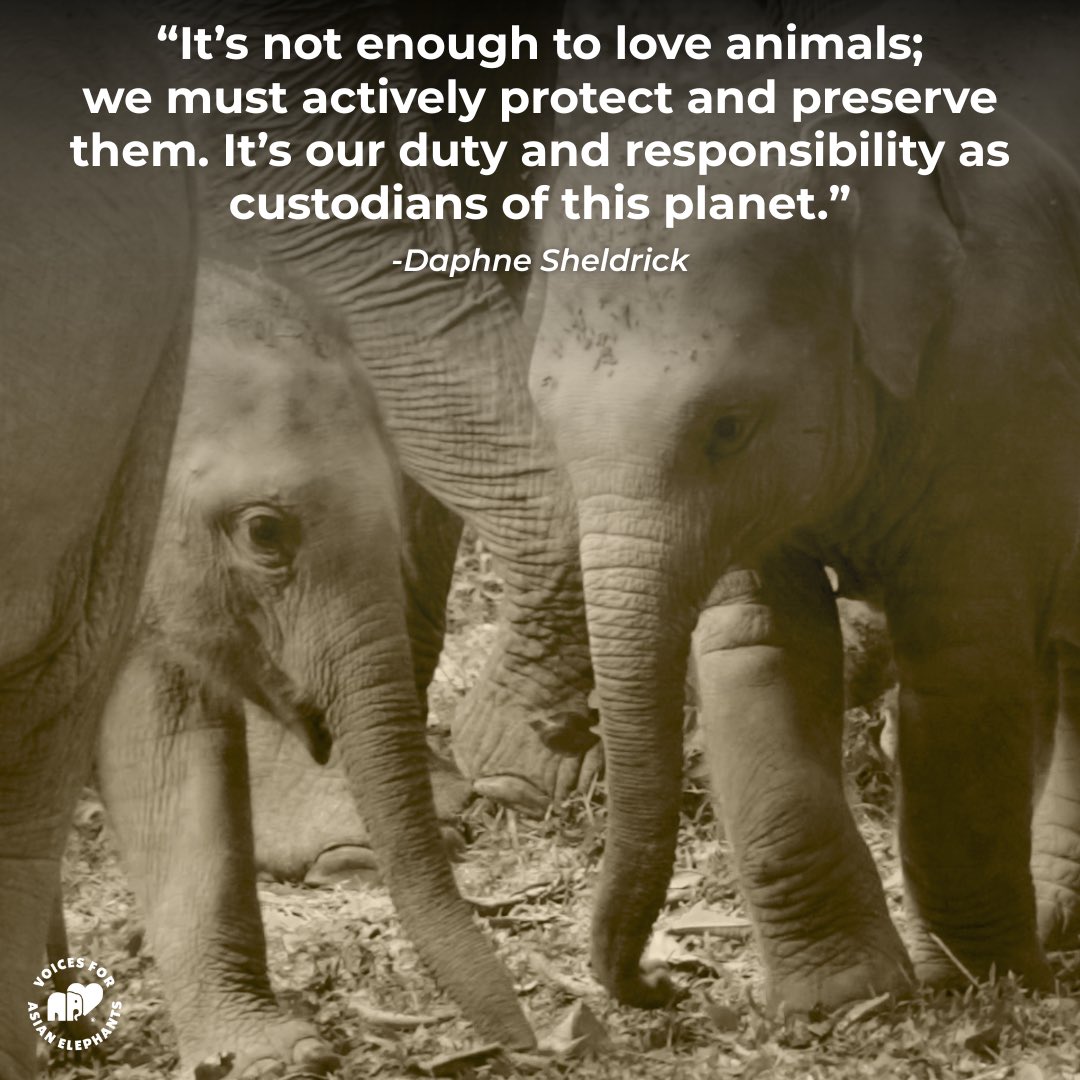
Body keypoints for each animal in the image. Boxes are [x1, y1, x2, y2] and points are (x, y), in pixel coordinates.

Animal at [529, 31, 1080, 1015]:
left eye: (727, 426)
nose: (663, 981)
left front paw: (979, 985)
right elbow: (760, 647)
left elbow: (961, 670)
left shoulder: (1003, 382)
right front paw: (843, 1001)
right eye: (545, 420)